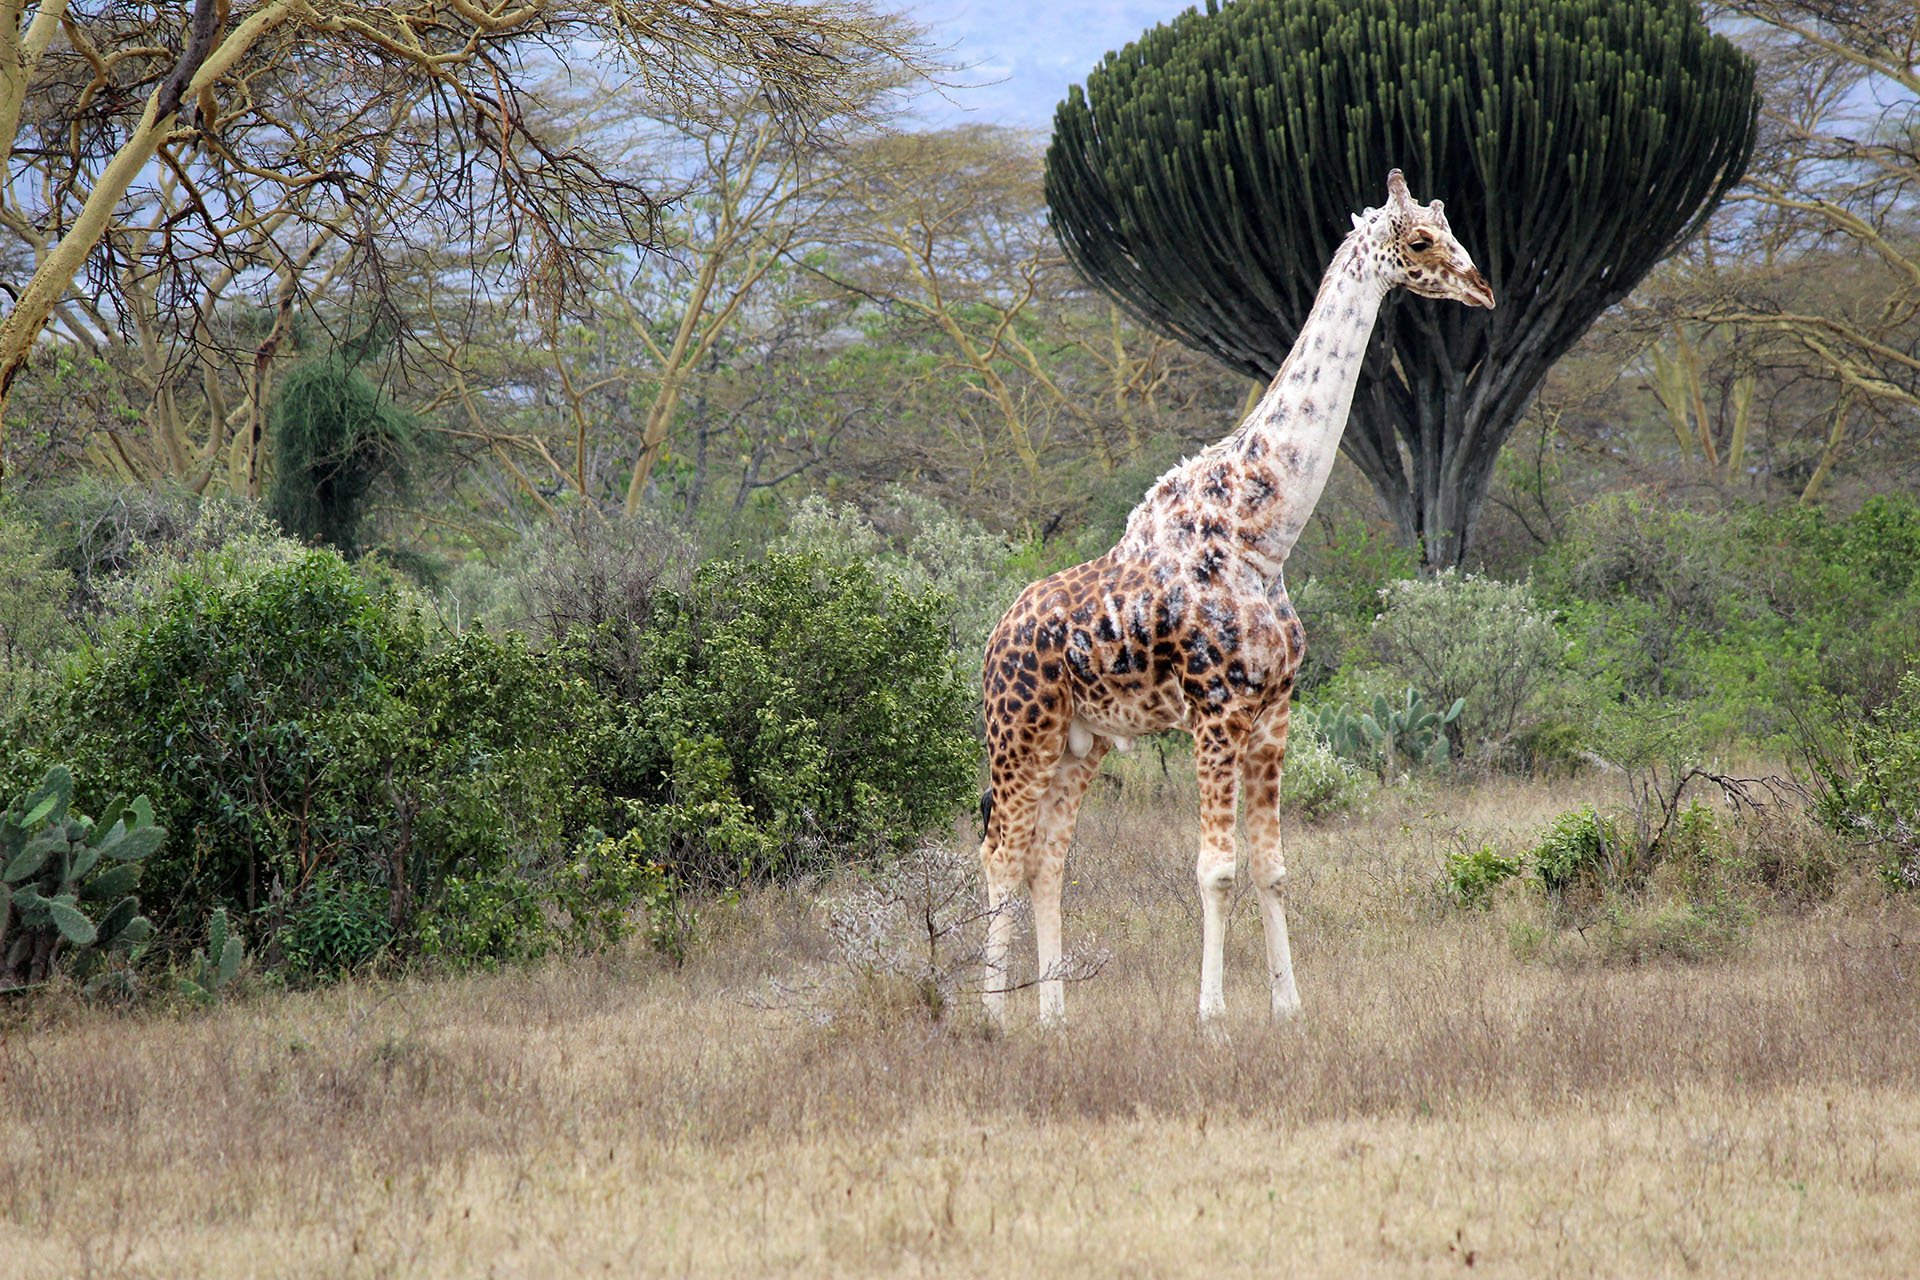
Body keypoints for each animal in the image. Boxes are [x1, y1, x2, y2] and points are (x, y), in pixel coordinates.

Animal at [978, 170, 1493, 1027]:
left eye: (1452, 229)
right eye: (1421, 240)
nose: (1482, 287)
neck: (1264, 533)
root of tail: (991, 639)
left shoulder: (1275, 711)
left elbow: (1271, 867)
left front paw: (1289, 1007)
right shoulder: (1215, 708)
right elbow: (1216, 868)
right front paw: (1212, 1015)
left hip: (1082, 742)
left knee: (1048, 859)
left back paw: (1054, 1017)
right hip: (1021, 732)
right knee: (1000, 856)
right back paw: (991, 1016)